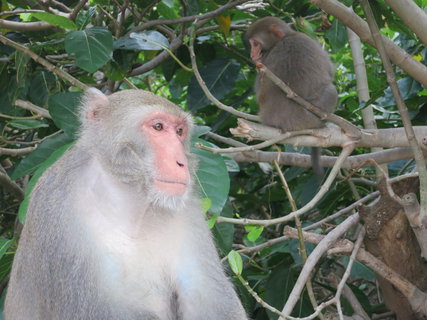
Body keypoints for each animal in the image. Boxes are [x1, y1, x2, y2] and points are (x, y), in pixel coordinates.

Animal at [5, 88, 249, 320]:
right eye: (158, 127)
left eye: (179, 132)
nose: (181, 163)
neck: (130, 201)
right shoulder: (58, 212)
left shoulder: (187, 212)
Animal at [246, 16, 340, 179]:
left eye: (256, 43)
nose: (252, 53)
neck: (285, 37)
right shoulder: (307, 39)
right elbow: (329, 72)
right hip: (310, 119)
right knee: (332, 90)